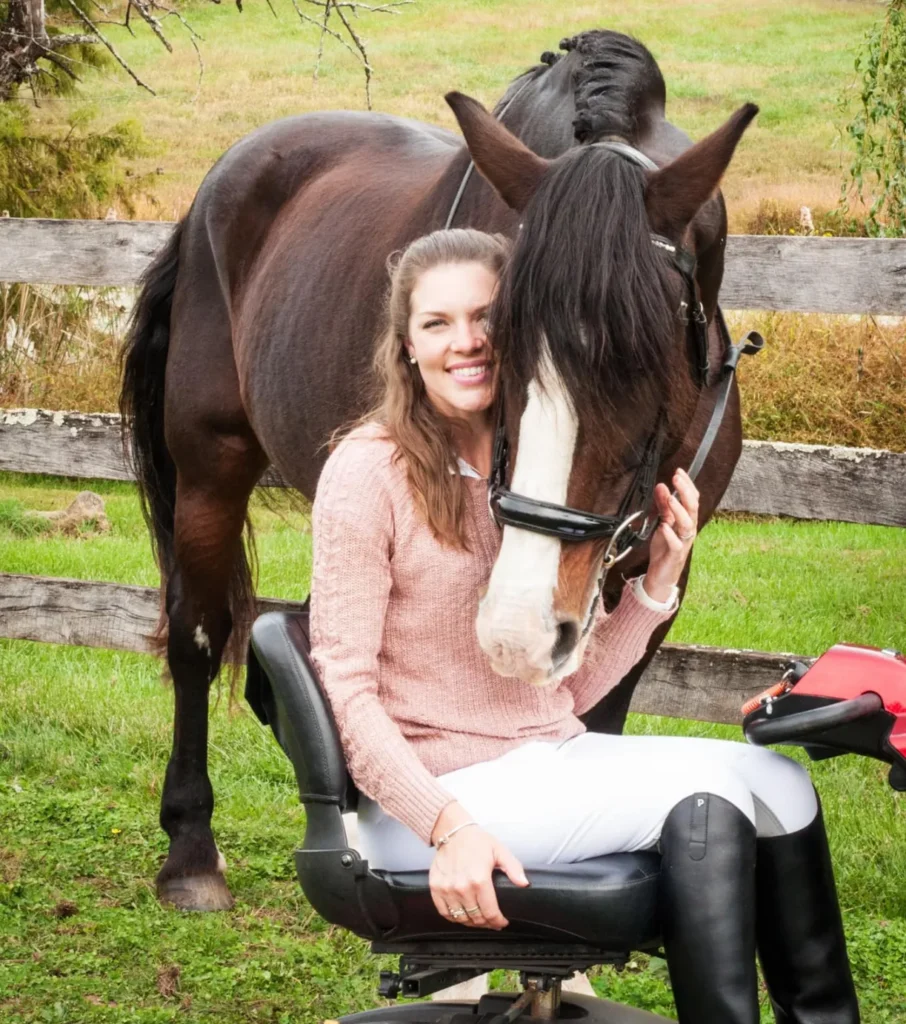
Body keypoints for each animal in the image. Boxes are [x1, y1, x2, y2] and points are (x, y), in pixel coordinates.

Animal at [120, 28, 757, 911]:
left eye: (644, 356)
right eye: (494, 338)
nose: (520, 631)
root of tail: (224, 176)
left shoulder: (661, 565)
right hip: (209, 464)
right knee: (198, 634)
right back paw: (190, 850)